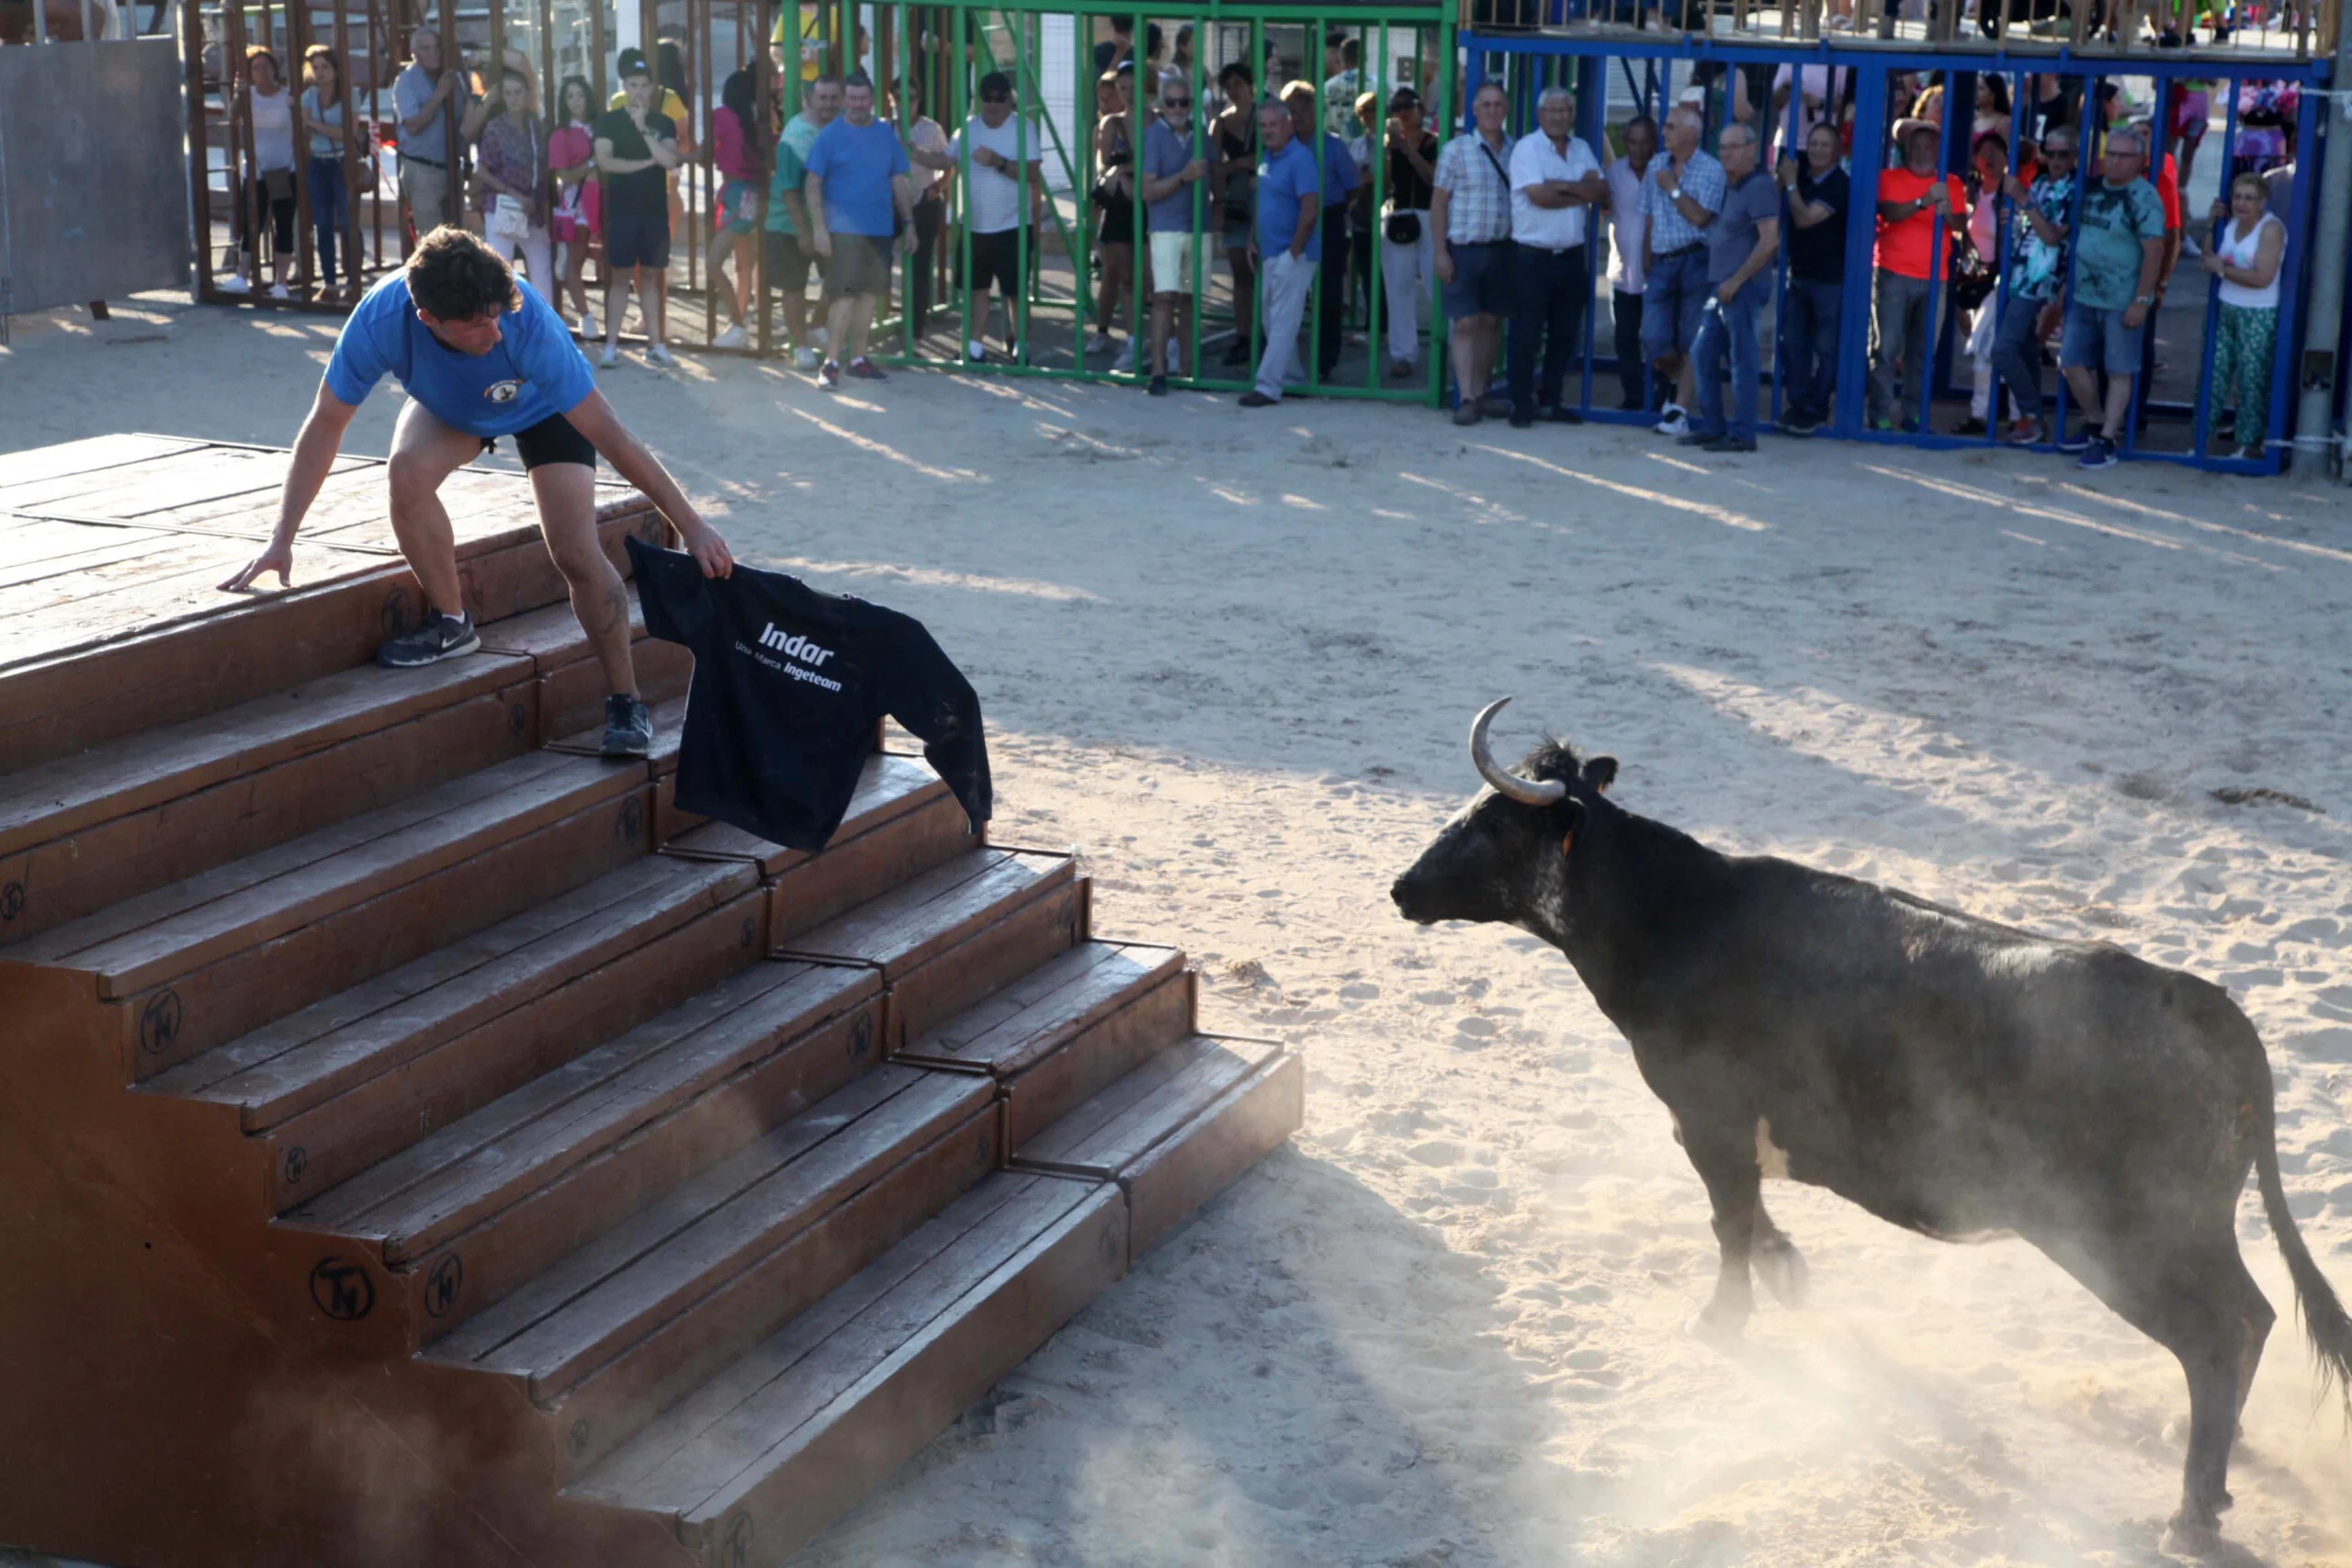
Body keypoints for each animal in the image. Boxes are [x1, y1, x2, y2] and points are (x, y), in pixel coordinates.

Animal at [1392, 700, 2352, 1561]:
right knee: (2252, 1319)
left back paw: (2189, 1516)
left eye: (1489, 823)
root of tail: (2203, 1003)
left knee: (2218, 1337)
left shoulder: (1707, 1119)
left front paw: (1721, 1320)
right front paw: (1789, 1275)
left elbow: (1727, 1222)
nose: (1402, 888)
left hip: (2128, 1239)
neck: (1678, 916)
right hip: (2197, 1230)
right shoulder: (1716, 1129)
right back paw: (2208, 1468)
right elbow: (1751, 1221)